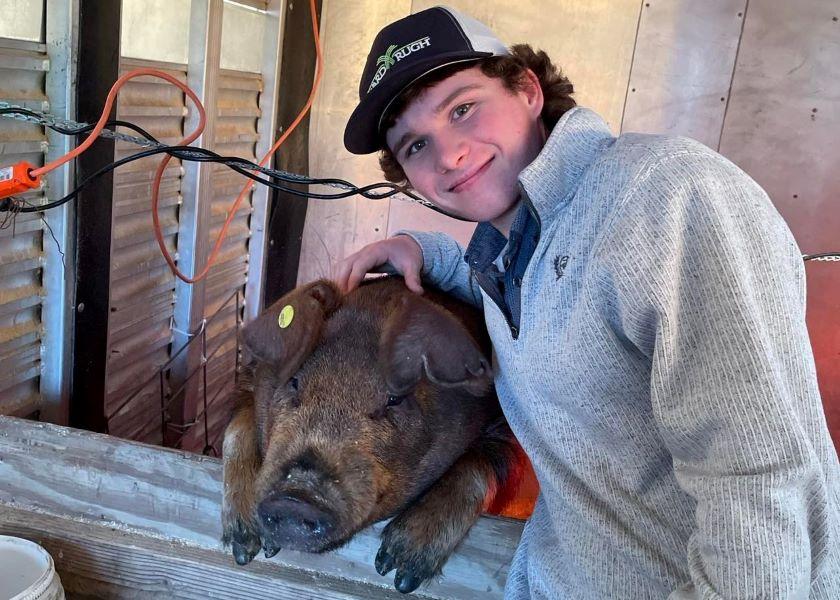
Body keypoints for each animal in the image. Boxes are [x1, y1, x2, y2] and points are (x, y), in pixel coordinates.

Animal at [223, 278, 520, 596]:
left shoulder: (499, 424)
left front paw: (398, 572)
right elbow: (237, 425)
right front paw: (244, 550)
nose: (297, 495)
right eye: (294, 381)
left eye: (394, 399)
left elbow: (478, 461)